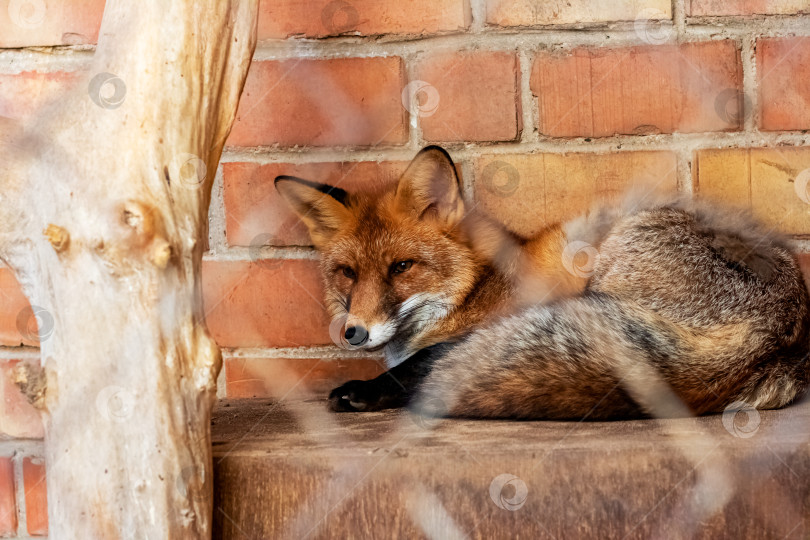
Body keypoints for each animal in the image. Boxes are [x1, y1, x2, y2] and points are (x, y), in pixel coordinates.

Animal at [276, 146, 808, 420]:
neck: (474, 286)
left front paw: (368, 390)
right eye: (347, 272)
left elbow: (424, 362)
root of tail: (775, 339)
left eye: (402, 267)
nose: (354, 333)